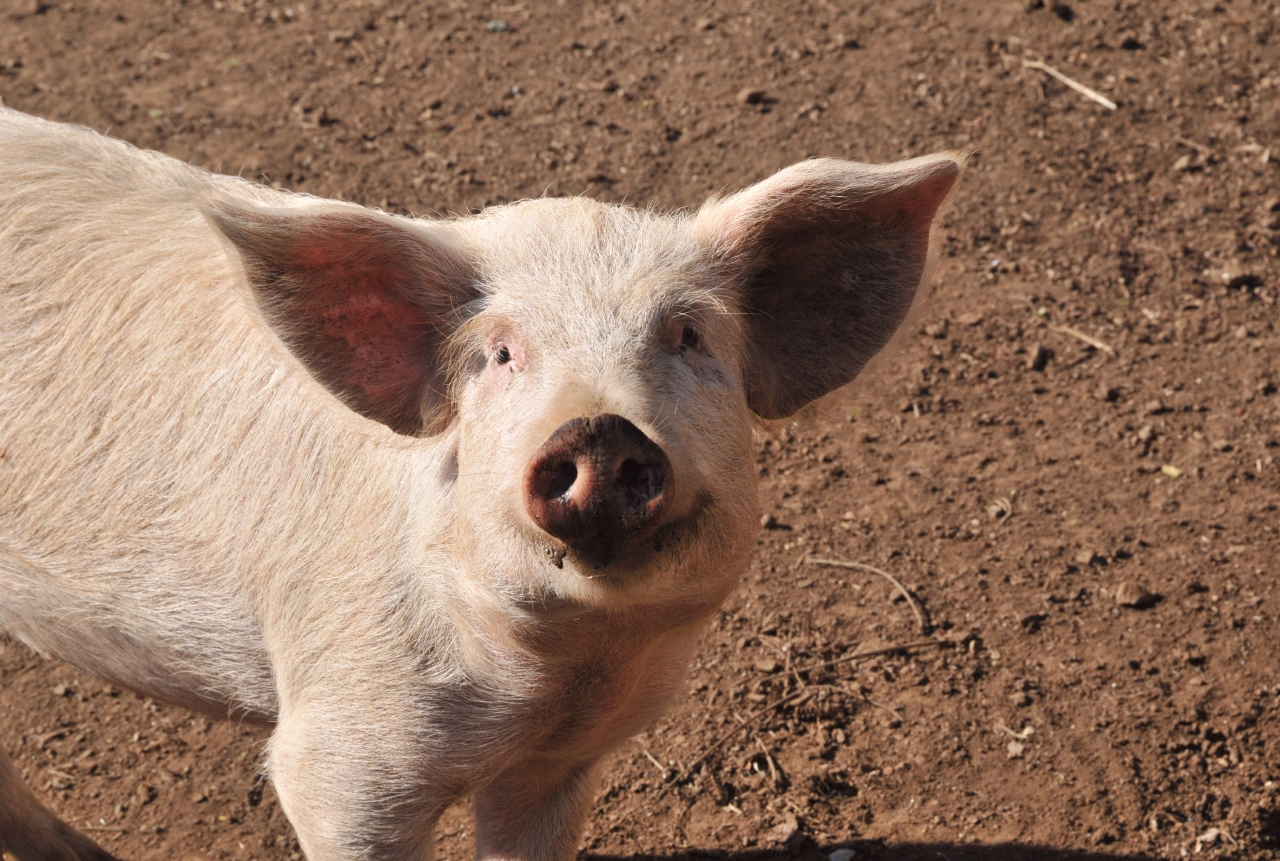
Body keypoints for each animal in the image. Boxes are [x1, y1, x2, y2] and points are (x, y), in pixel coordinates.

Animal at [0, 107, 962, 859]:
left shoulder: (565, 761)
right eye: (500, 353)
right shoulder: (339, 757)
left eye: (689, 335)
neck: (560, 675)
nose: (600, 429)